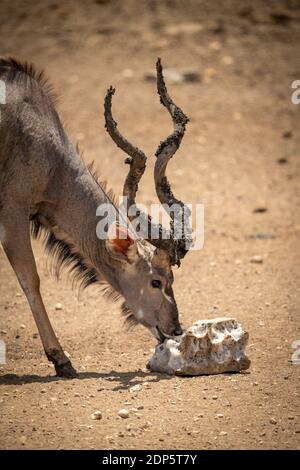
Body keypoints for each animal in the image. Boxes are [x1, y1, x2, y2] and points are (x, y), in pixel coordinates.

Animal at [0, 57, 192, 376]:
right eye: (156, 282)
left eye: (172, 280)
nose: (175, 329)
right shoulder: (12, 211)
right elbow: (30, 278)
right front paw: (61, 360)